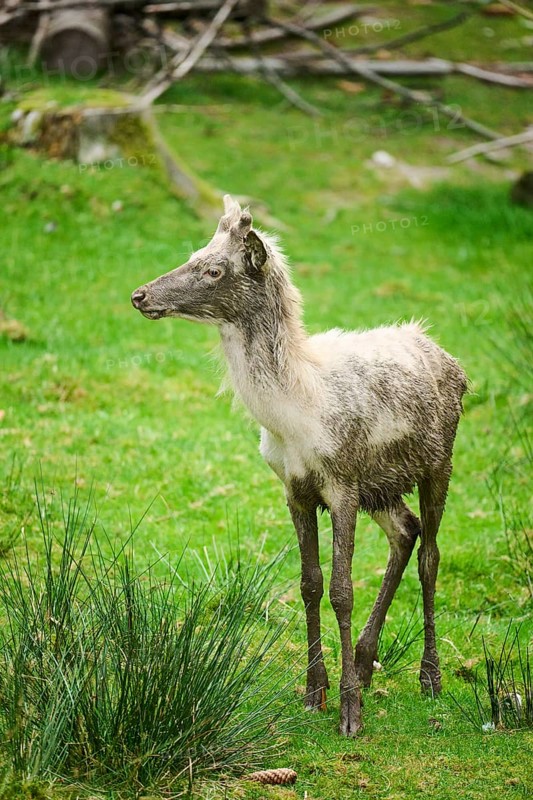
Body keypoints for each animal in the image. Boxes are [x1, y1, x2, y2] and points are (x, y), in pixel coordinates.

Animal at [131, 195, 467, 736]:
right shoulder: (294, 488)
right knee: (405, 530)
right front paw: (314, 691)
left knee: (431, 555)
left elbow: (342, 590)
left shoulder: (343, 483)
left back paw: (429, 678)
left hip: (439, 462)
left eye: (213, 269)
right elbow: (310, 585)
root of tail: (451, 361)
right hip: (383, 486)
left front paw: (350, 713)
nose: (140, 295)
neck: (294, 415)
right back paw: (366, 660)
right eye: (194, 253)